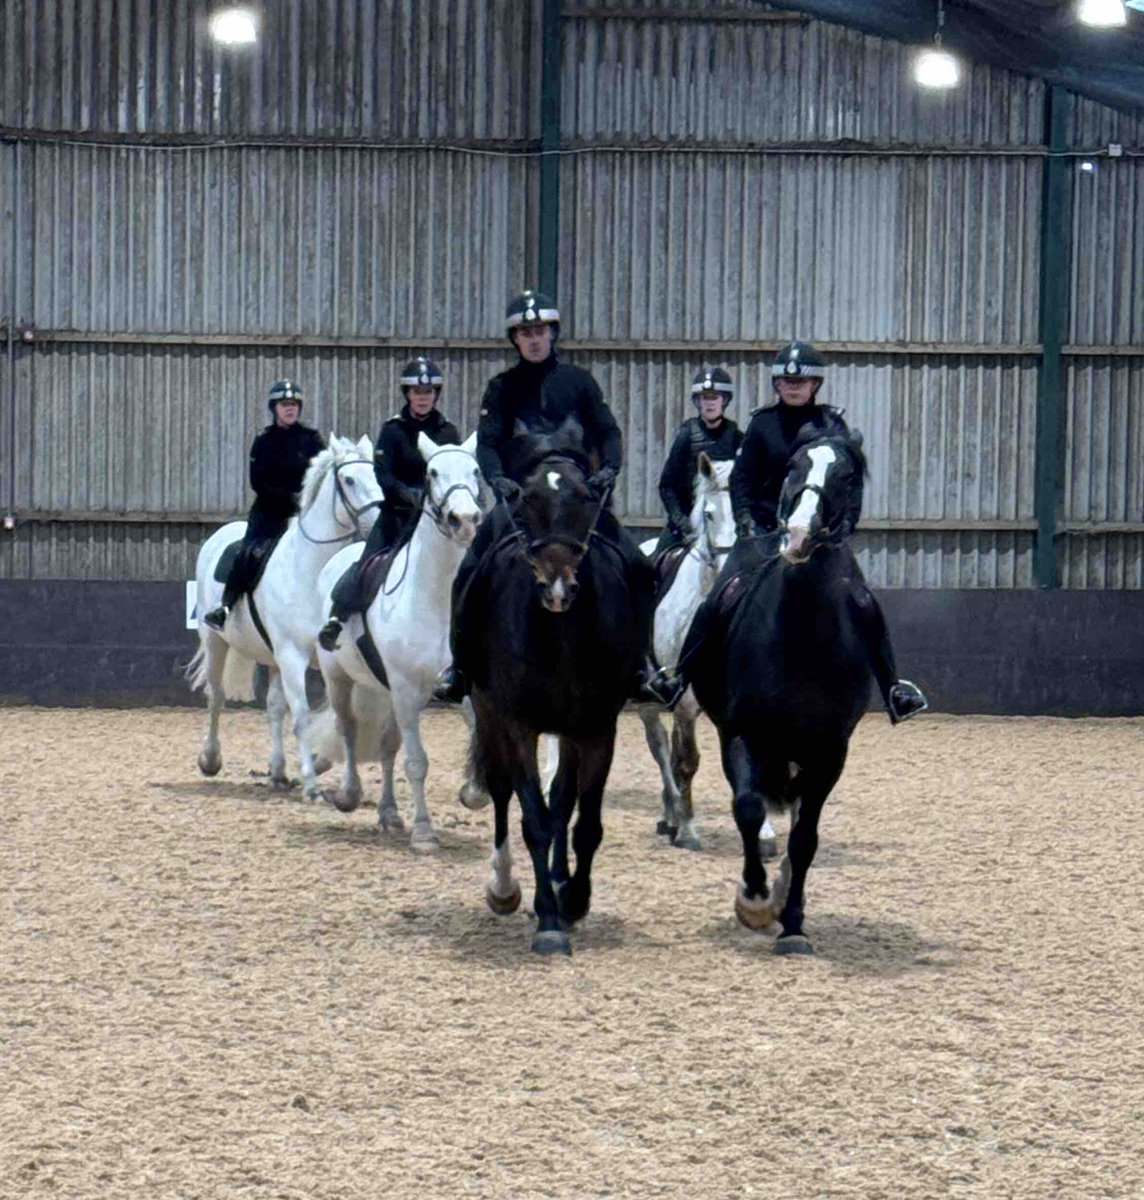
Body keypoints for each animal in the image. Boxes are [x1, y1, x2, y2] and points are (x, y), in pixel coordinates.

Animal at [187, 436, 381, 801]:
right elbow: (303, 717)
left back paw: (277, 771)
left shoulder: (328, 657)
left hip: (273, 658)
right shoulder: (293, 656)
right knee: (216, 696)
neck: (312, 571)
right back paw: (210, 759)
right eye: (349, 480)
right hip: (216, 640)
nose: (378, 523)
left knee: (274, 707)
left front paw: (321, 762)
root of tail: (221, 534)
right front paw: (311, 784)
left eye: (376, 475)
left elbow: (337, 714)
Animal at [307, 436, 487, 849]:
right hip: (339, 678)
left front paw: (474, 793)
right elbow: (416, 762)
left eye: (475, 470)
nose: (465, 520)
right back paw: (349, 795)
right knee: (348, 728)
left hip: (383, 690)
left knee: (388, 746)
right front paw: (424, 832)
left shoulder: (462, 684)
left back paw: (389, 813)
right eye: (432, 472)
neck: (435, 598)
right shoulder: (406, 691)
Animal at [463, 451, 643, 955]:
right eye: (525, 501)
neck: (560, 634)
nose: (557, 589)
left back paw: (562, 884)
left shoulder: (598, 726)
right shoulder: (518, 724)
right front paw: (547, 920)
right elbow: (534, 821)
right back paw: (504, 888)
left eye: (585, 501)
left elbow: (585, 823)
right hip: (489, 714)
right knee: (502, 792)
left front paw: (574, 900)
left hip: (570, 730)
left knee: (562, 797)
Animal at [638, 451, 782, 854]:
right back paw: (673, 817)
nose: (728, 567)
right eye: (708, 514)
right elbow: (686, 761)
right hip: (650, 701)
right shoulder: (685, 700)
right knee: (661, 750)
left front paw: (764, 834)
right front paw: (688, 830)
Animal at [686, 422, 864, 955]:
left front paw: (793, 922)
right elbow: (746, 807)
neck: (798, 634)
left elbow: (805, 838)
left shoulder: (830, 752)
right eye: (794, 468)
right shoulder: (741, 734)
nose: (800, 535)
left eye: (847, 477)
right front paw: (754, 901)